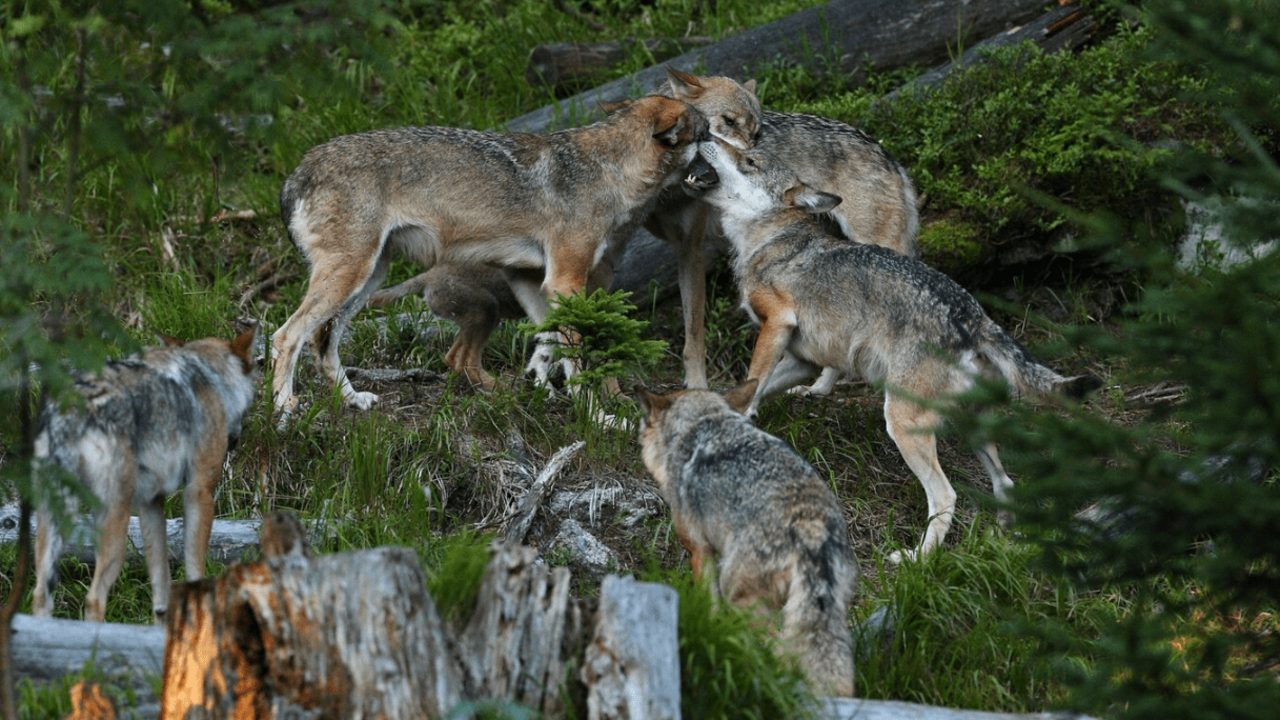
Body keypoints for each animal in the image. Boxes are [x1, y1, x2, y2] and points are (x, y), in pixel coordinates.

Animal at [32, 326, 259, 623]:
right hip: (114, 526)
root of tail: (72, 408)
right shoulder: (200, 490)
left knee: (40, 595)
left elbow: (161, 580)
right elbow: (194, 566)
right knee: (93, 599)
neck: (209, 376)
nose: (234, 441)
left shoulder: (151, 502)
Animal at [270, 95, 707, 418]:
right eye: (708, 136)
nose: (718, 172)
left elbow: (549, 343)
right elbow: (577, 357)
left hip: (367, 279)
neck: (609, 170)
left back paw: (352, 399)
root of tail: (297, 171)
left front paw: (539, 387)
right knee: (285, 335)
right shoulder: (565, 280)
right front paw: (598, 416)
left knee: (322, 342)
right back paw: (284, 407)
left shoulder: (530, 280)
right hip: (349, 278)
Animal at [637, 380, 858, 697]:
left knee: (780, 650)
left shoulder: (700, 549)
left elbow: (708, 603)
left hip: (739, 595)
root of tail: (811, 528)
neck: (703, 422)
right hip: (820, 610)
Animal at [646, 69, 919, 392]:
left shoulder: (694, 250)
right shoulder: (681, 249)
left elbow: (694, 337)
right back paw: (818, 389)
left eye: (756, 133)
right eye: (728, 121)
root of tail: (889, 157)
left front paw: (698, 387)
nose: (755, 158)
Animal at [684, 139, 1103, 562]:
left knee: (946, 496)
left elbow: (752, 380)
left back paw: (916, 560)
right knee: (1006, 483)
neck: (768, 239)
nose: (705, 135)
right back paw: (1004, 539)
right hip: (971, 429)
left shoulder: (777, 324)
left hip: (901, 423)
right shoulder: (803, 360)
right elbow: (748, 388)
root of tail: (973, 318)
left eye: (749, 159)